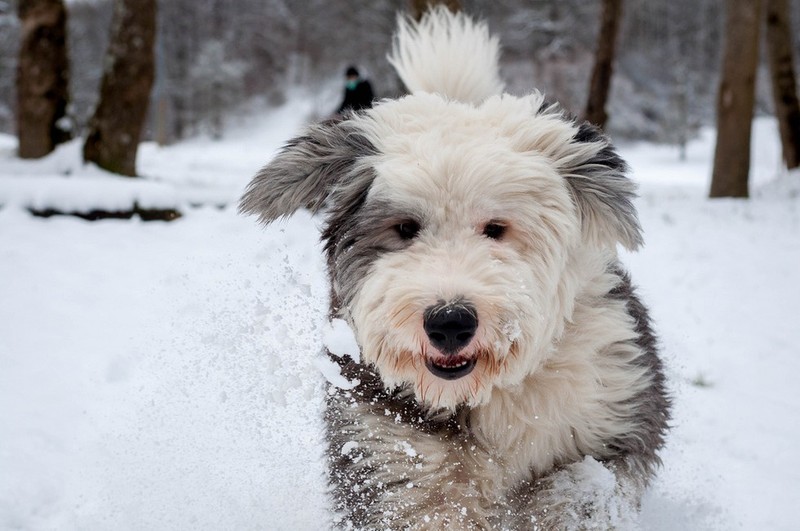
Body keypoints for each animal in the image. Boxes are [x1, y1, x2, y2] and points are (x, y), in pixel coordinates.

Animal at [242, 8, 668, 531]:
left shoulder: (611, 405)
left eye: (496, 228)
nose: (450, 322)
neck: (485, 392)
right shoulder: (386, 451)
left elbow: (581, 490)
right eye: (405, 228)